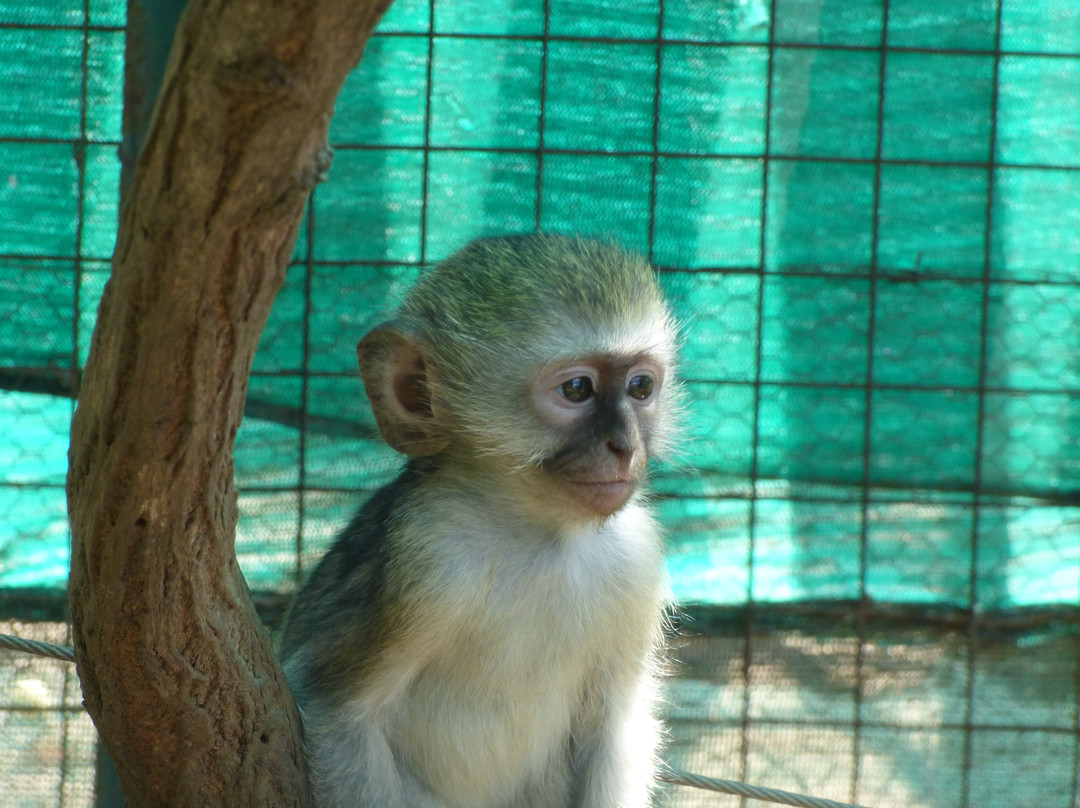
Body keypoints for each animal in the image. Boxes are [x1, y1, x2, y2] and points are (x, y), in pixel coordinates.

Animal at [278, 233, 680, 808]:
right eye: (577, 389)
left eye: (640, 387)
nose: (624, 446)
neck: (536, 536)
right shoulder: (423, 559)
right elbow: (335, 711)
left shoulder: (637, 558)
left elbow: (615, 726)